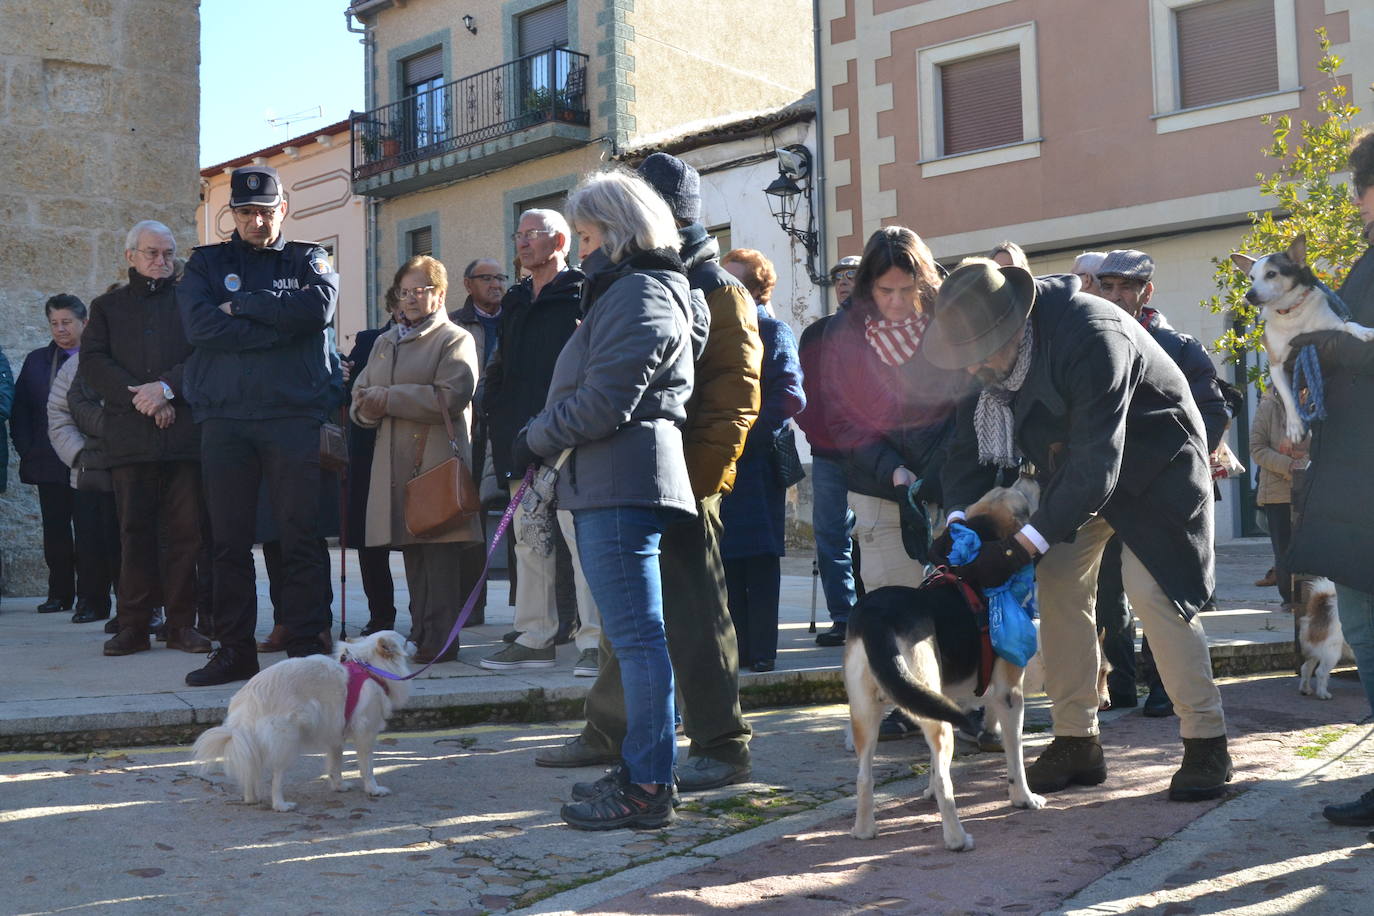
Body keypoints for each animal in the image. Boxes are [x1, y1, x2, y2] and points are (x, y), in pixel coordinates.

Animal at [192, 631, 412, 807]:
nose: (414, 641)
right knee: (276, 777)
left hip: (252, 743)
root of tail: (248, 702)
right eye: (407, 641)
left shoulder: (334, 733)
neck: (371, 668)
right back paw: (281, 805)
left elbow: (335, 764)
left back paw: (251, 798)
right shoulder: (365, 733)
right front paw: (373, 789)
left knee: (250, 769)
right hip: (286, 740)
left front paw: (338, 786)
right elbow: (367, 767)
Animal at [840, 483, 1044, 856]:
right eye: (1023, 505)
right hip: (935, 720)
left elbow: (933, 769)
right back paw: (957, 838)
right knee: (948, 787)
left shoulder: (941, 700)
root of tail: (876, 616)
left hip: (867, 713)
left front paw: (927, 791)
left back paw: (863, 831)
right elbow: (1015, 756)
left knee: (864, 776)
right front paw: (1023, 797)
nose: (1030, 477)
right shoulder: (1009, 695)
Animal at [1231, 233, 1374, 439]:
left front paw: (1364, 332)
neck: (1291, 311)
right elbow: (1288, 397)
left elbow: (1348, 325)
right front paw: (1294, 425)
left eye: (1271, 274)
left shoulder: (1334, 325)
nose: (1249, 295)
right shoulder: (1276, 365)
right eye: (1251, 278)